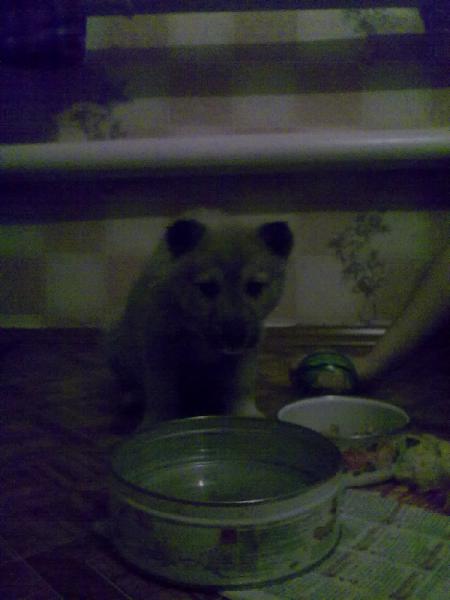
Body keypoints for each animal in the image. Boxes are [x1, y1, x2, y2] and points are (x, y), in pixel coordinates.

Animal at [108, 211, 293, 429]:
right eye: (208, 287)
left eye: (255, 287)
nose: (234, 338)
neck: (196, 330)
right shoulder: (158, 350)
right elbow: (161, 395)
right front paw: (155, 422)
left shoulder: (246, 353)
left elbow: (241, 387)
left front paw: (246, 414)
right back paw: (132, 395)